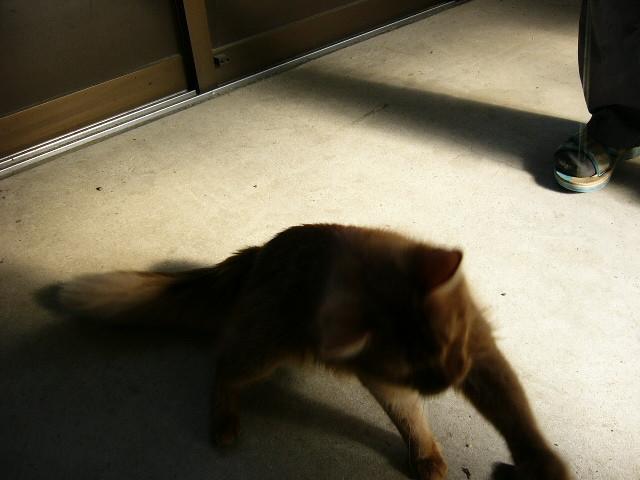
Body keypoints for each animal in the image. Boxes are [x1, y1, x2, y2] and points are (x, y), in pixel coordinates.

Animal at [59, 223, 569, 480]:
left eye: (449, 343)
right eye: (415, 368)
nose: (448, 382)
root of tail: (259, 253)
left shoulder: (479, 353)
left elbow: (514, 415)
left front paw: (542, 463)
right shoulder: (384, 377)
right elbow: (409, 414)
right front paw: (426, 452)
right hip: (265, 350)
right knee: (223, 367)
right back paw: (224, 423)